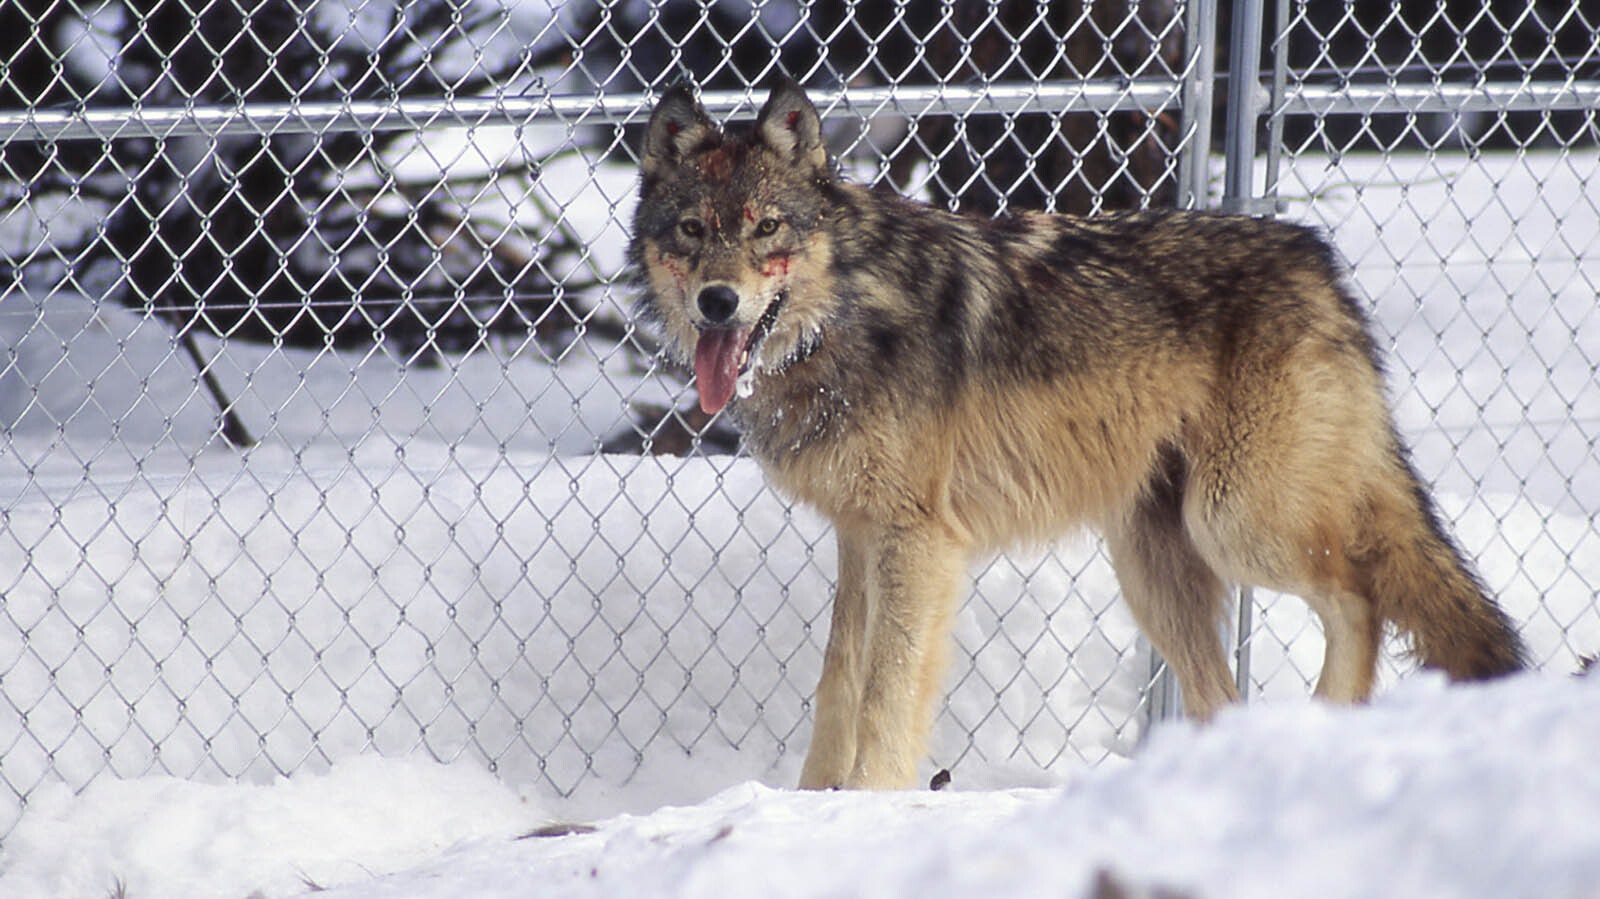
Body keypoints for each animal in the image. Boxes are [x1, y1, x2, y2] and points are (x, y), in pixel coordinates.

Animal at [624, 80, 1523, 787]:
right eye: (693, 231)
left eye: (767, 228)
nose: (717, 302)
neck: (844, 311)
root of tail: (1318, 259)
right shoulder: (858, 533)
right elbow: (839, 682)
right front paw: (813, 804)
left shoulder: (917, 539)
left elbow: (886, 690)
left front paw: (871, 797)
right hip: (1154, 566)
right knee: (1225, 690)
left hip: (1236, 523)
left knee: (1360, 599)